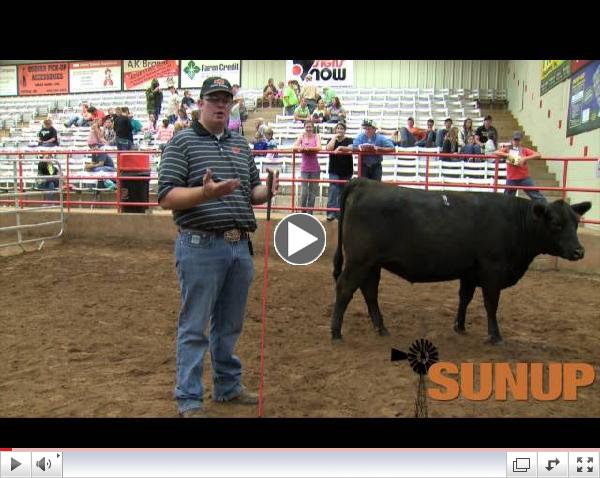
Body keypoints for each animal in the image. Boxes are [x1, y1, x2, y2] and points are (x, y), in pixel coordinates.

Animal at [332, 178, 592, 344]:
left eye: (576, 222)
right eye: (556, 224)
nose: (579, 251)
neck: (515, 221)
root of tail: (365, 182)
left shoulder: (470, 271)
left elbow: (465, 298)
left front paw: (460, 326)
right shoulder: (492, 270)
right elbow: (491, 303)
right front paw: (495, 335)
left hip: (371, 264)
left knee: (369, 291)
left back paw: (381, 328)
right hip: (359, 260)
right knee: (345, 288)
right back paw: (336, 332)